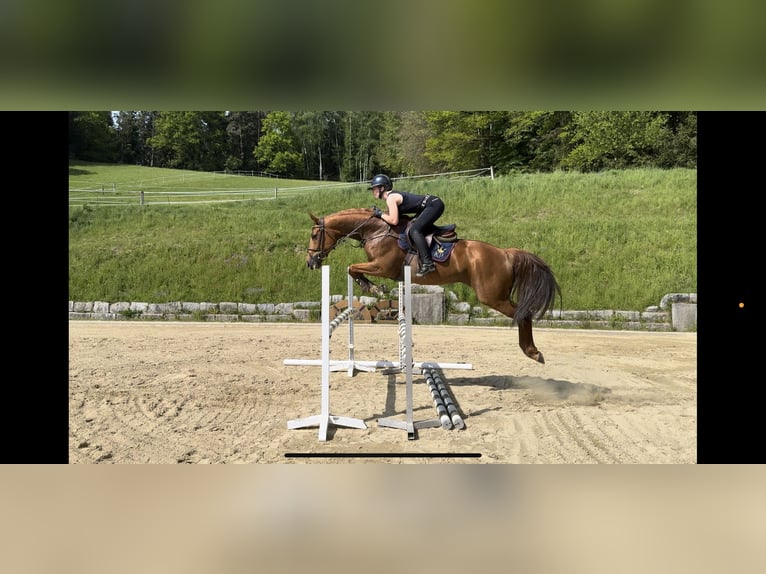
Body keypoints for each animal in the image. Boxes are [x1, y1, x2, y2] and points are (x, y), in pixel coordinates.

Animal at [306, 208, 564, 364]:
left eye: (313, 235)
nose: (311, 262)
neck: (376, 230)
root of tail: (506, 253)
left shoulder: (382, 267)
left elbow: (352, 267)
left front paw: (373, 288)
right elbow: (353, 268)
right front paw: (370, 287)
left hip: (492, 297)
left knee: (524, 314)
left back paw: (532, 351)